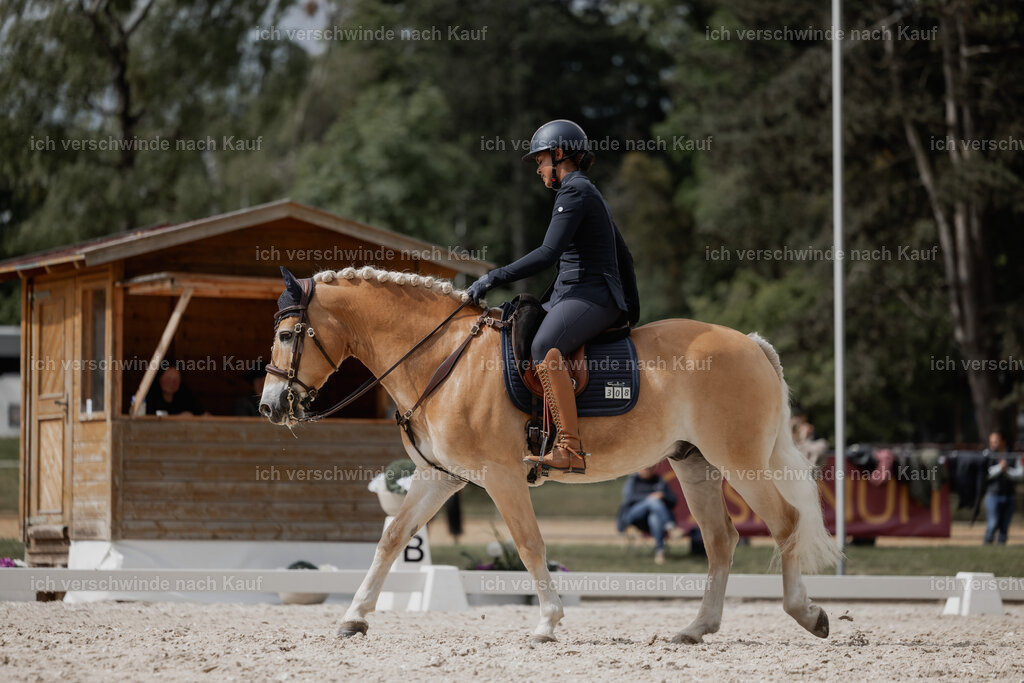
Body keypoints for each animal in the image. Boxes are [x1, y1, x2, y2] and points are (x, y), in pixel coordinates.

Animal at [259, 265, 841, 644]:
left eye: (287, 335)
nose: (270, 406)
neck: (440, 358)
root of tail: (750, 342)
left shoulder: (500, 476)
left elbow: (528, 543)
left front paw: (546, 622)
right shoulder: (439, 477)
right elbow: (392, 539)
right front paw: (353, 617)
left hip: (739, 460)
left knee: (785, 522)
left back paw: (807, 614)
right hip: (694, 463)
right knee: (722, 541)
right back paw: (696, 628)